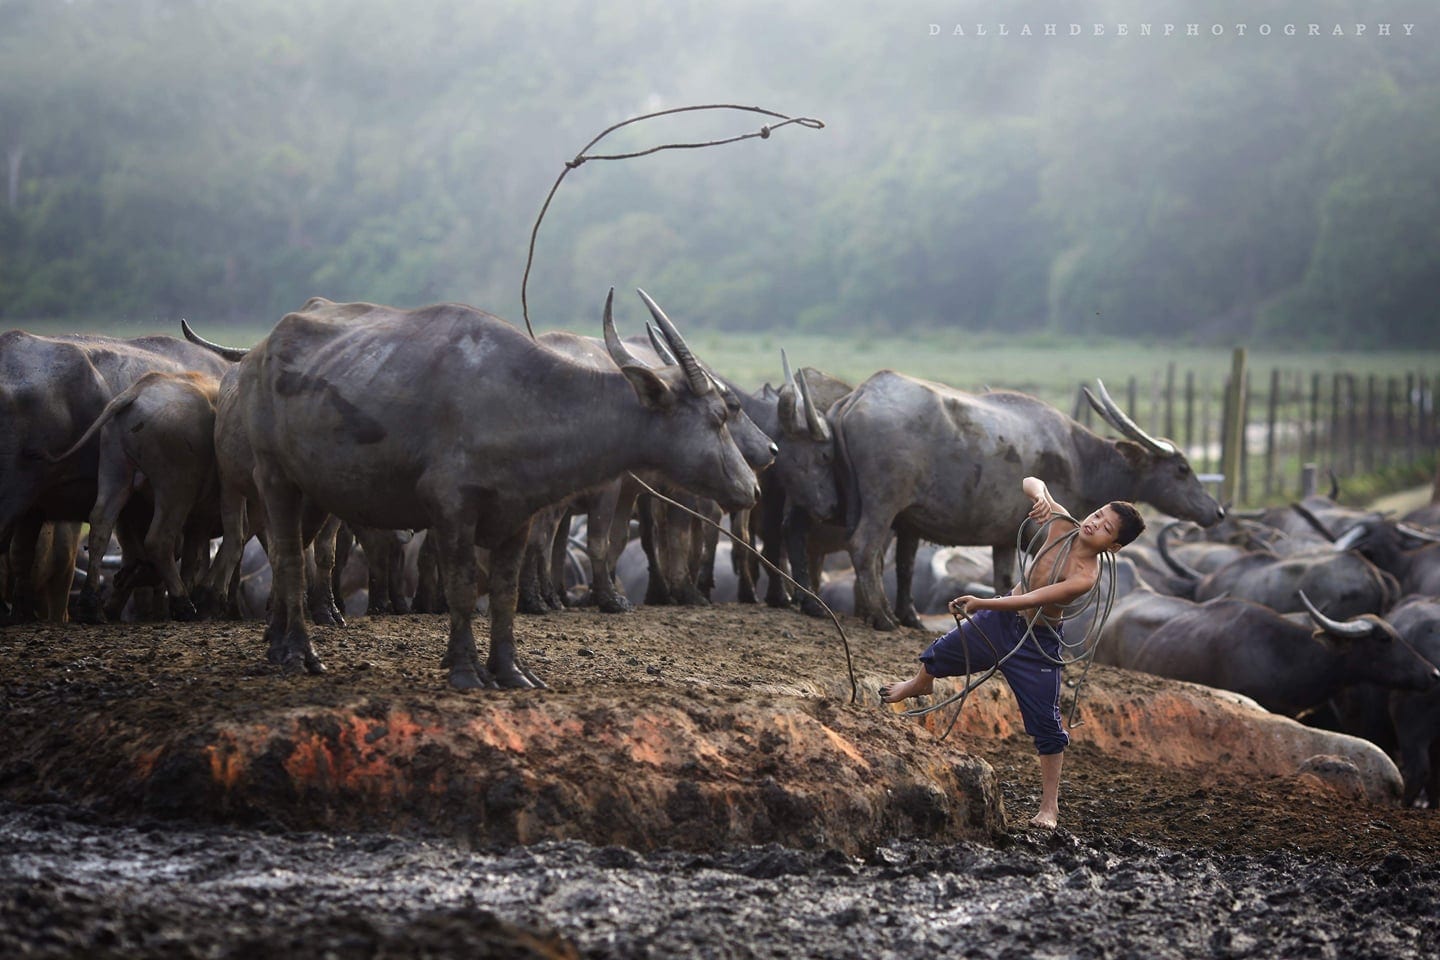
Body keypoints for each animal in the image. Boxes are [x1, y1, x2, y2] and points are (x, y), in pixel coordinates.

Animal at [197, 289, 760, 687]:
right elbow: (464, 588)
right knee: (290, 558)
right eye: (719, 415)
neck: (524, 399)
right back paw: (299, 652)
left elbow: (506, 592)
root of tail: (259, 353)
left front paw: (511, 671)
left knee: (289, 553)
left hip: (316, 495)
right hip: (275, 479)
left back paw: (275, 641)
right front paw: (466, 670)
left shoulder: (518, 515)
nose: (752, 486)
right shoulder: (451, 509)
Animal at [823, 374, 1226, 630]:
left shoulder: (1002, 538)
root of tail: (857, 397)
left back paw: (896, 615)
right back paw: (883, 618)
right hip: (883, 503)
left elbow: (1003, 579)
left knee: (891, 560)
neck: (1082, 460)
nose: (1218, 510)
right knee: (864, 546)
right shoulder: (1040, 534)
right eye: (1182, 469)